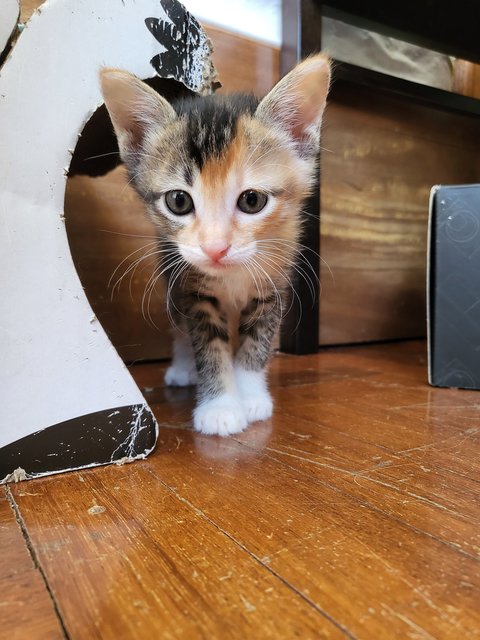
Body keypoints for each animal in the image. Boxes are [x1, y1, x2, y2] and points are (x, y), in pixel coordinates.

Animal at [98, 53, 330, 436]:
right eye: (178, 201)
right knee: (178, 326)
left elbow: (257, 343)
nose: (215, 248)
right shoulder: (193, 290)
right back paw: (182, 368)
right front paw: (220, 406)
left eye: (252, 201)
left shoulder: (273, 286)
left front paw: (250, 396)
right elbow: (209, 347)